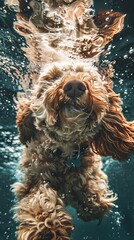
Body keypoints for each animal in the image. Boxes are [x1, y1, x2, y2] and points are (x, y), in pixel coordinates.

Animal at [5, 0, 134, 240]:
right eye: (52, 78)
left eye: (90, 78)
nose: (74, 85)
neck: (65, 148)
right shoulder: (32, 177)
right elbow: (39, 197)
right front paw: (47, 227)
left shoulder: (88, 164)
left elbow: (94, 196)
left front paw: (91, 199)